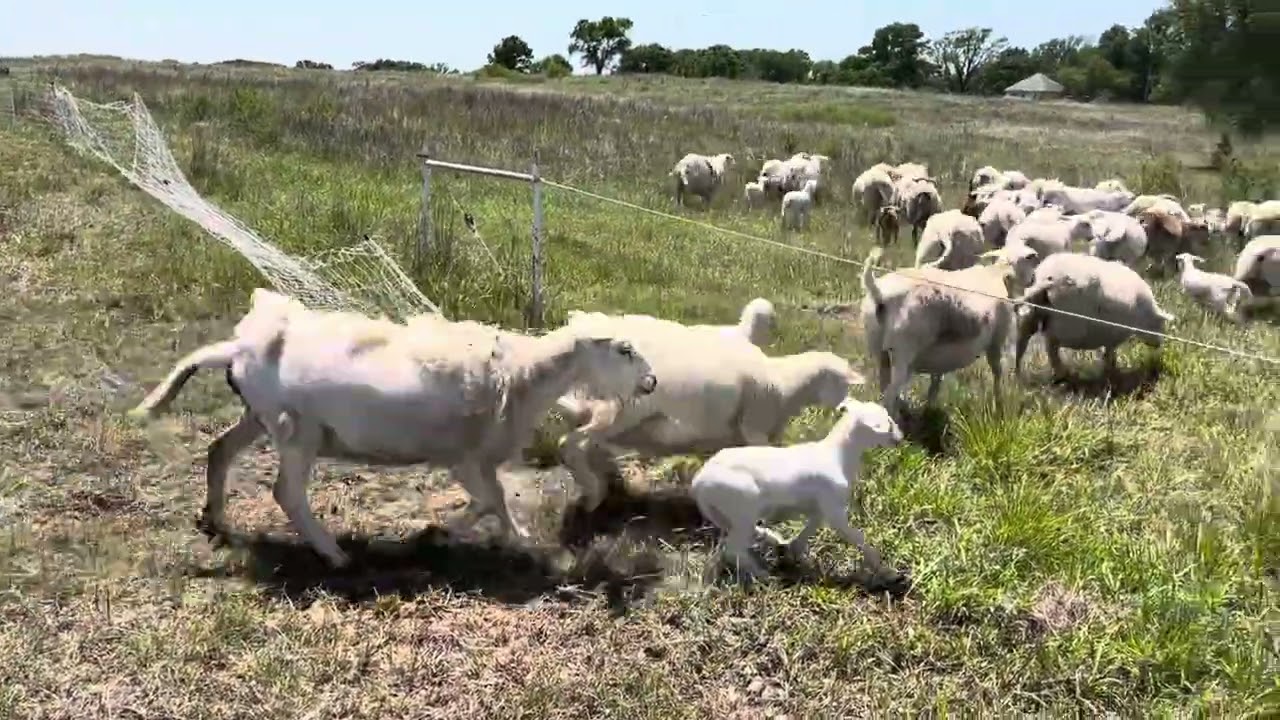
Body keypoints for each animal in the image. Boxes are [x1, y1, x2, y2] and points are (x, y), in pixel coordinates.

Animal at [128, 289, 659, 568]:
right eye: (624, 349)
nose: (652, 382)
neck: (525, 374)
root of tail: (237, 347)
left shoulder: (470, 458)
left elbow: (492, 502)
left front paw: (455, 534)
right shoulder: (465, 455)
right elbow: (493, 500)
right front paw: (510, 541)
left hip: (258, 415)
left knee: (218, 451)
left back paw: (216, 520)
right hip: (297, 429)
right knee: (287, 493)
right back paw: (334, 555)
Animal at [555, 313, 863, 511]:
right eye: (841, 382)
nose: (844, 409)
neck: (782, 383)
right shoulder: (755, 428)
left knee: (582, 445)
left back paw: (603, 486)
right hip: (621, 411)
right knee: (572, 444)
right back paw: (593, 495)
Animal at [691, 396, 903, 581]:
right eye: (888, 423)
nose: (900, 439)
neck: (838, 455)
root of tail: (699, 481)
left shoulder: (821, 507)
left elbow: (810, 528)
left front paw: (794, 552)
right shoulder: (834, 510)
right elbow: (857, 537)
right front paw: (888, 571)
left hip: (726, 512)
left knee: (731, 540)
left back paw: (773, 540)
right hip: (742, 507)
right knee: (733, 549)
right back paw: (763, 575)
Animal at [860, 245, 1038, 420]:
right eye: (1029, 259)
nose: (1033, 279)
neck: (996, 274)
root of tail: (880, 295)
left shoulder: (940, 353)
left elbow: (936, 380)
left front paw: (930, 408)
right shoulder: (996, 340)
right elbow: (997, 372)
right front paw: (999, 405)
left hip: (880, 349)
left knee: (884, 387)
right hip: (904, 350)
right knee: (890, 396)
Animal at [1013, 253, 1176, 382]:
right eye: (1160, 324)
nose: (1159, 344)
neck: (1144, 312)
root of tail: (1047, 279)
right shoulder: (1114, 335)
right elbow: (1110, 354)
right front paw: (1111, 373)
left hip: (1035, 313)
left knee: (1024, 339)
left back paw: (1018, 373)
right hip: (1064, 323)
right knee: (1051, 347)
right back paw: (1062, 374)